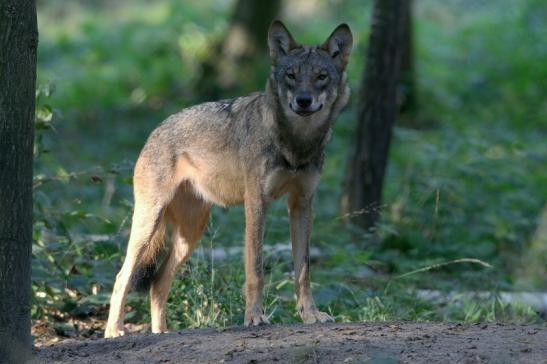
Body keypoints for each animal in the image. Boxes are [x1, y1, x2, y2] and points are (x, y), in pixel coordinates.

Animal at [105, 19, 354, 338]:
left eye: (321, 77)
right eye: (291, 75)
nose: (303, 101)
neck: (296, 144)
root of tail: (156, 129)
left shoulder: (302, 204)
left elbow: (303, 270)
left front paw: (310, 315)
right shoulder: (256, 204)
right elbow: (256, 270)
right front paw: (255, 318)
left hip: (191, 233)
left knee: (158, 282)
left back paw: (161, 333)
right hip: (149, 224)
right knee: (122, 276)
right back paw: (114, 331)